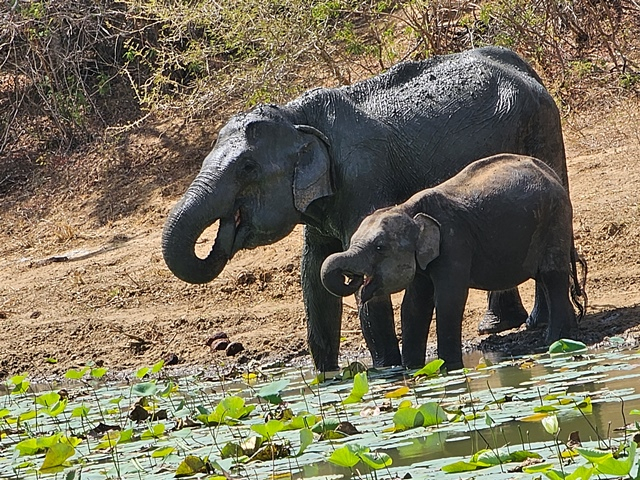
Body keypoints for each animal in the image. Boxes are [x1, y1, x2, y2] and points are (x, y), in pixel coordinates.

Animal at [320, 154, 581, 370]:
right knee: (545, 278)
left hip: (555, 218)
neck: (407, 209)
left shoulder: (454, 244)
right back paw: (566, 334)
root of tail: (551, 173)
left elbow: (448, 299)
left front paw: (449, 366)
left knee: (551, 275)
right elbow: (414, 305)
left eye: (379, 247)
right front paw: (411, 368)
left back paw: (554, 341)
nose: (352, 277)